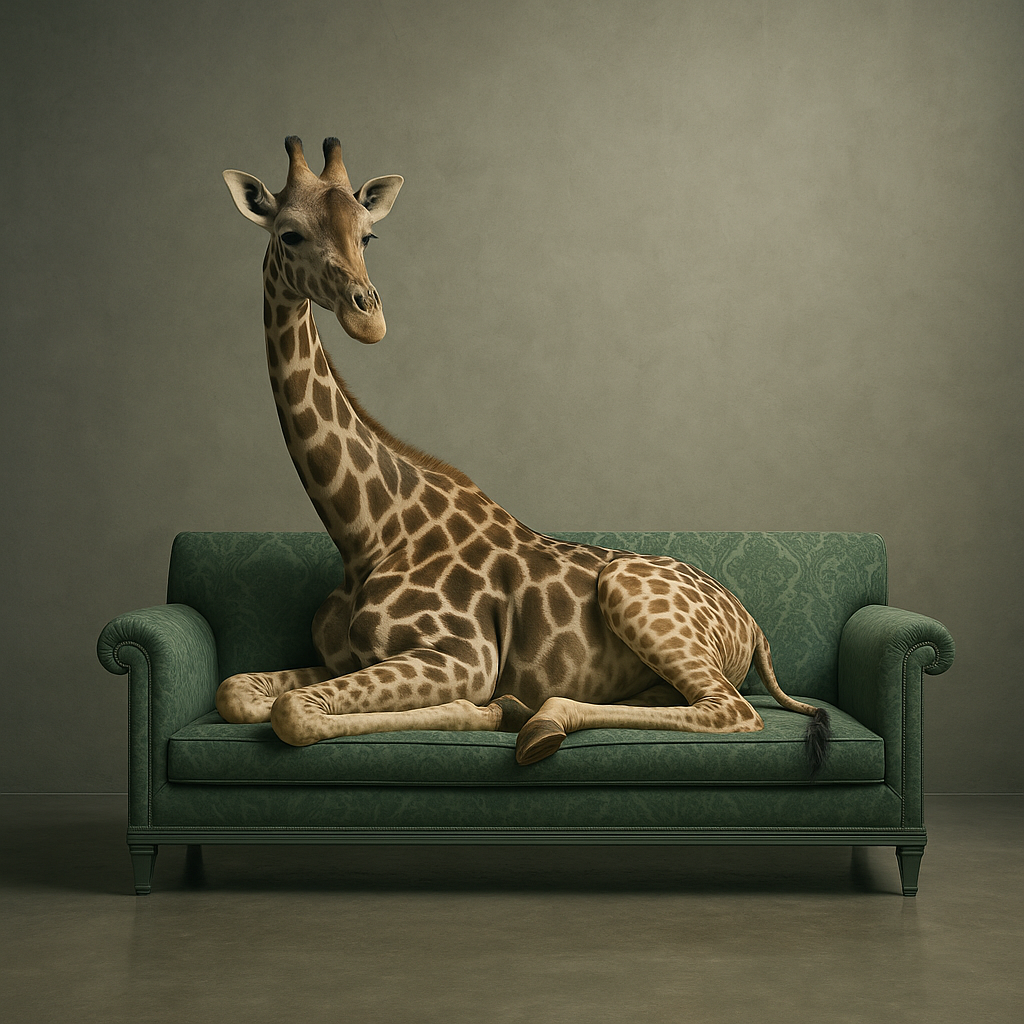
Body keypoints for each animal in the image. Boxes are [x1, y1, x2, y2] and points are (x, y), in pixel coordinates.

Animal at [218, 136, 831, 772]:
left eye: (369, 235)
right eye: (290, 233)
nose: (368, 316)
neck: (364, 534)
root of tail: (752, 623)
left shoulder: (462, 658)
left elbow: (295, 711)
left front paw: (494, 711)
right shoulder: (344, 658)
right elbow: (239, 691)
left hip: (631, 596)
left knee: (733, 709)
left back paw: (540, 722)